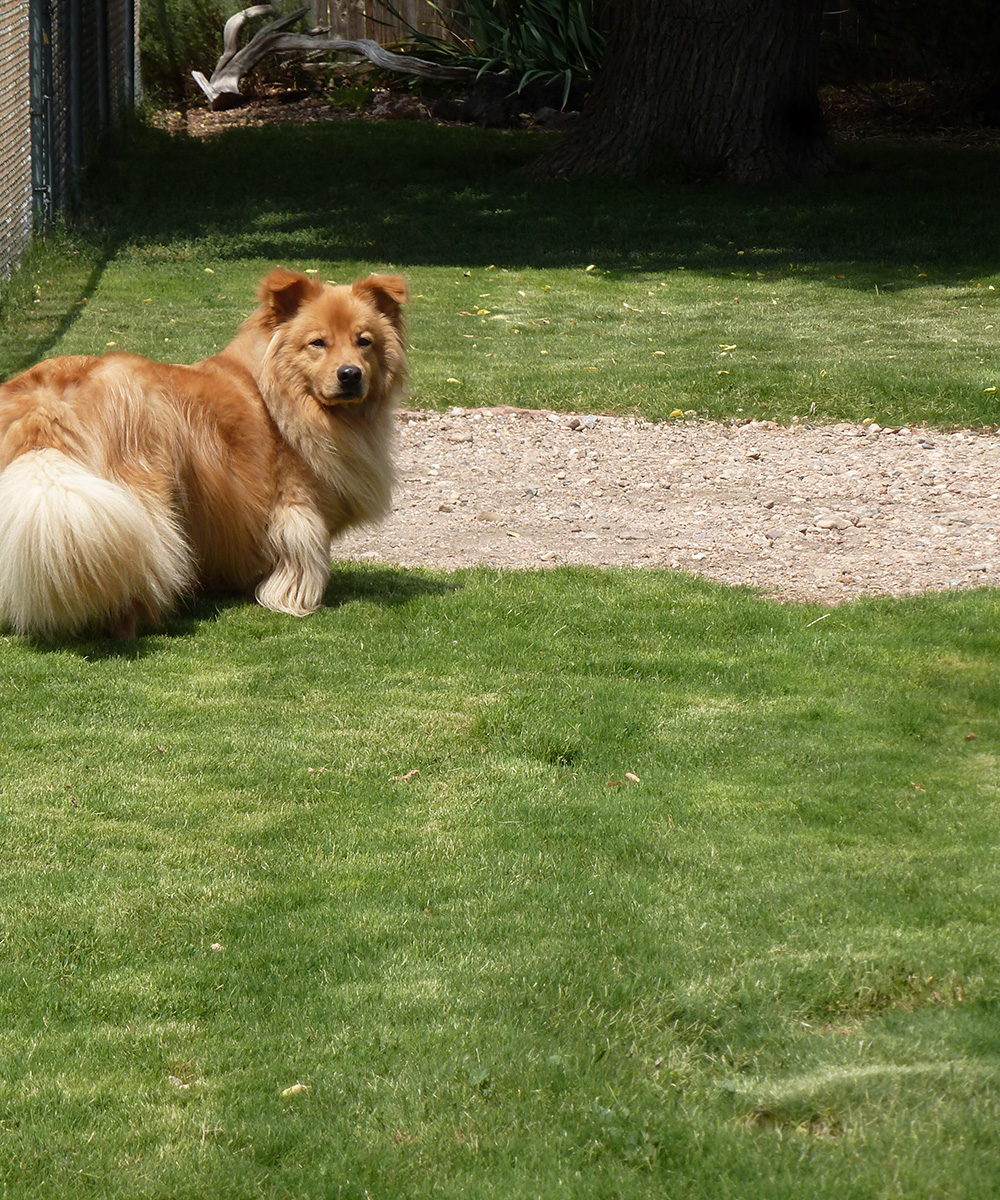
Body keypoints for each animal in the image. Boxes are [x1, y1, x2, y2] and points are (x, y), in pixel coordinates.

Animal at [0, 265, 408, 638]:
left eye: (364, 341)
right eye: (318, 343)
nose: (350, 374)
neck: (277, 390)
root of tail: (47, 400)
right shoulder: (295, 498)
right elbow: (304, 551)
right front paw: (297, 601)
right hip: (145, 493)